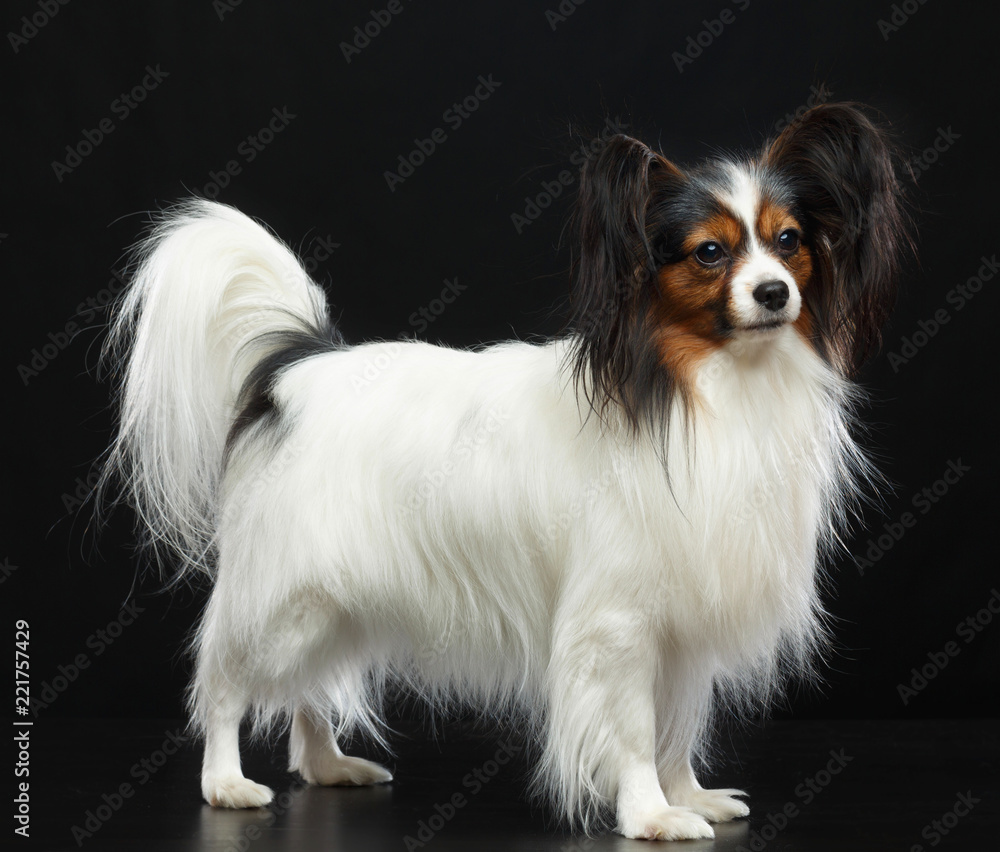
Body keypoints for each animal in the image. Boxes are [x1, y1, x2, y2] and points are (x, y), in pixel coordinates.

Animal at [99, 105, 908, 840]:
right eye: (710, 253)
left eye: (789, 242)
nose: (774, 293)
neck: (705, 385)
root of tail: (299, 367)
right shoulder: (617, 622)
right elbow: (635, 729)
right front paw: (651, 815)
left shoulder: (680, 623)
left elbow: (678, 724)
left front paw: (690, 796)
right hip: (285, 597)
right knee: (228, 681)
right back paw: (226, 783)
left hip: (335, 599)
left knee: (307, 687)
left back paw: (328, 766)